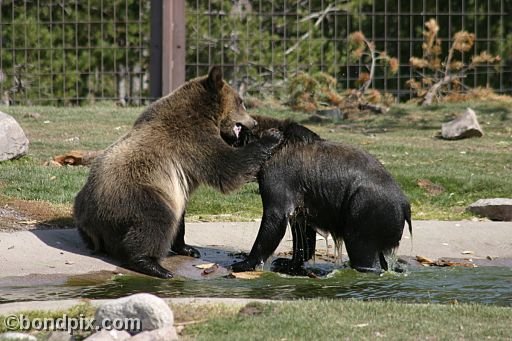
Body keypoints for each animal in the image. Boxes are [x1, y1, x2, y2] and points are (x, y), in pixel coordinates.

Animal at [73, 67, 282, 278]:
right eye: (241, 101)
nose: (254, 122)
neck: (206, 114)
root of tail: (91, 222)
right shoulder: (194, 139)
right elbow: (228, 168)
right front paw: (272, 136)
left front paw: (189, 248)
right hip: (135, 194)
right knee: (156, 220)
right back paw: (153, 265)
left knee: (176, 216)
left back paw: (186, 249)